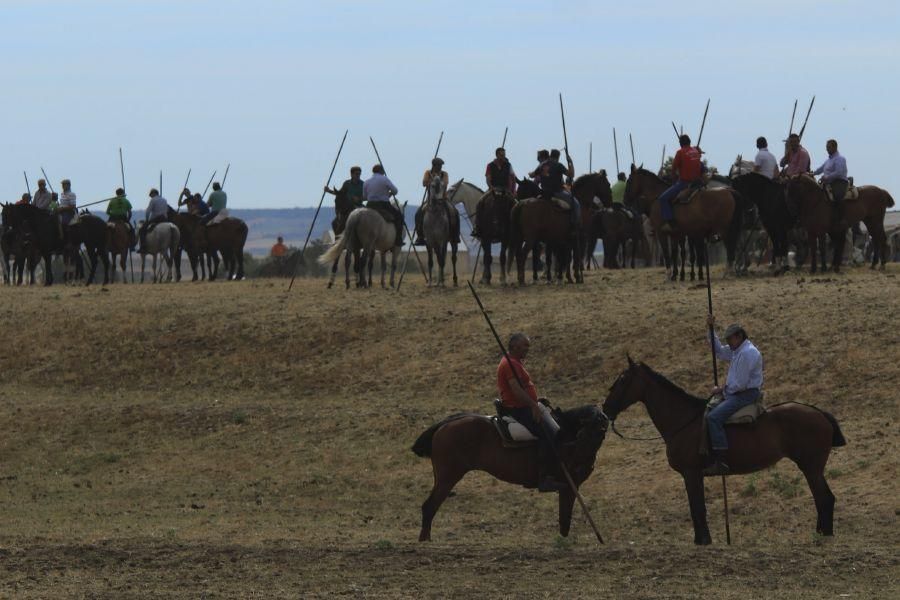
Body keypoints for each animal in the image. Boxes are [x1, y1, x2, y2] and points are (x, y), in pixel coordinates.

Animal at [412, 406, 608, 540]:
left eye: (601, 432)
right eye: (586, 430)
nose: (582, 462)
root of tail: (445, 424)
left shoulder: (569, 486)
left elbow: (564, 517)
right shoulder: (569, 486)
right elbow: (565, 515)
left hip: (442, 477)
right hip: (448, 477)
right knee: (430, 506)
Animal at [600, 358, 848, 548]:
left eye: (623, 380)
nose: (605, 409)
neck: (685, 421)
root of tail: (818, 413)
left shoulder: (691, 473)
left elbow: (697, 508)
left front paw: (703, 541)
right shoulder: (693, 475)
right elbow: (696, 507)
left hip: (811, 467)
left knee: (824, 498)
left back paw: (824, 535)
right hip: (812, 468)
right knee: (821, 498)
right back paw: (820, 533)